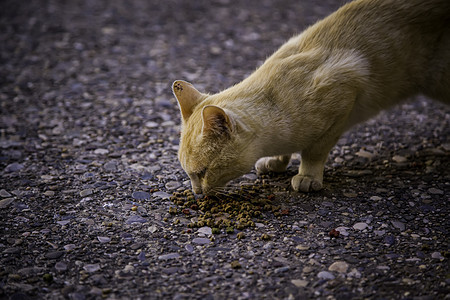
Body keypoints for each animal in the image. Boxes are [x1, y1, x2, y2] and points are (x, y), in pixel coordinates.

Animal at [172, 0, 450, 195]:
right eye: (189, 174)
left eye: (202, 172)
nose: (197, 194)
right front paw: (276, 162)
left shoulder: (343, 95)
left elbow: (314, 151)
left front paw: (307, 176)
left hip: (439, 80)